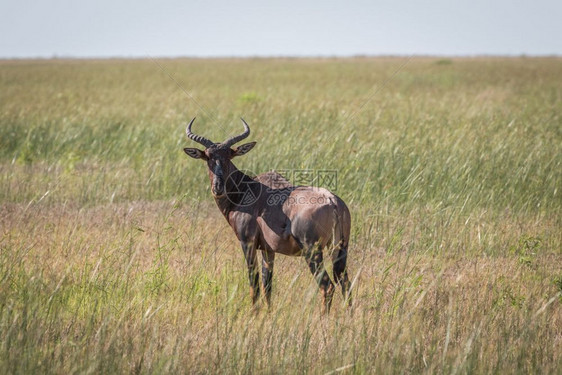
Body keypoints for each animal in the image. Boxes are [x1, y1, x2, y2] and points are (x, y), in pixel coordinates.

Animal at [184, 118, 350, 314]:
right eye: (208, 157)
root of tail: (332, 200)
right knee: (345, 283)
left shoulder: (247, 243)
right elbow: (267, 284)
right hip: (340, 249)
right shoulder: (268, 249)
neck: (249, 189)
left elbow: (254, 281)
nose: (218, 188)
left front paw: (254, 313)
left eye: (228, 156)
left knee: (327, 286)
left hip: (312, 251)